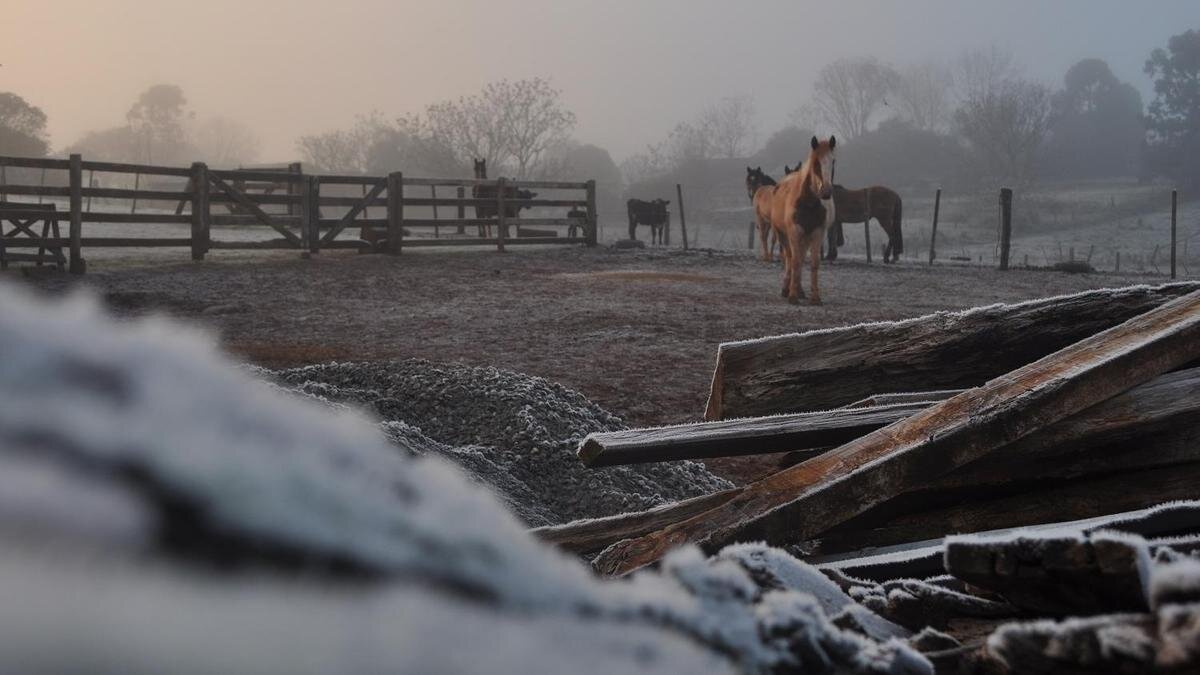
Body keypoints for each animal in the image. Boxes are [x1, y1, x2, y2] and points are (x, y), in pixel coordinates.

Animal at [768, 135, 835, 303]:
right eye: (815, 162)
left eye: (833, 161)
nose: (826, 192)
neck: (808, 202)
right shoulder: (794, 231)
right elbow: (795, 261)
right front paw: (792, 296)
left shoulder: (817, 233)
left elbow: (814, 263)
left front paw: (815, 297)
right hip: (783, 235)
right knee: (789, 258)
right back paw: (787, 289)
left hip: (805, 237)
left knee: (800, 257)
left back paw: (800, 290)